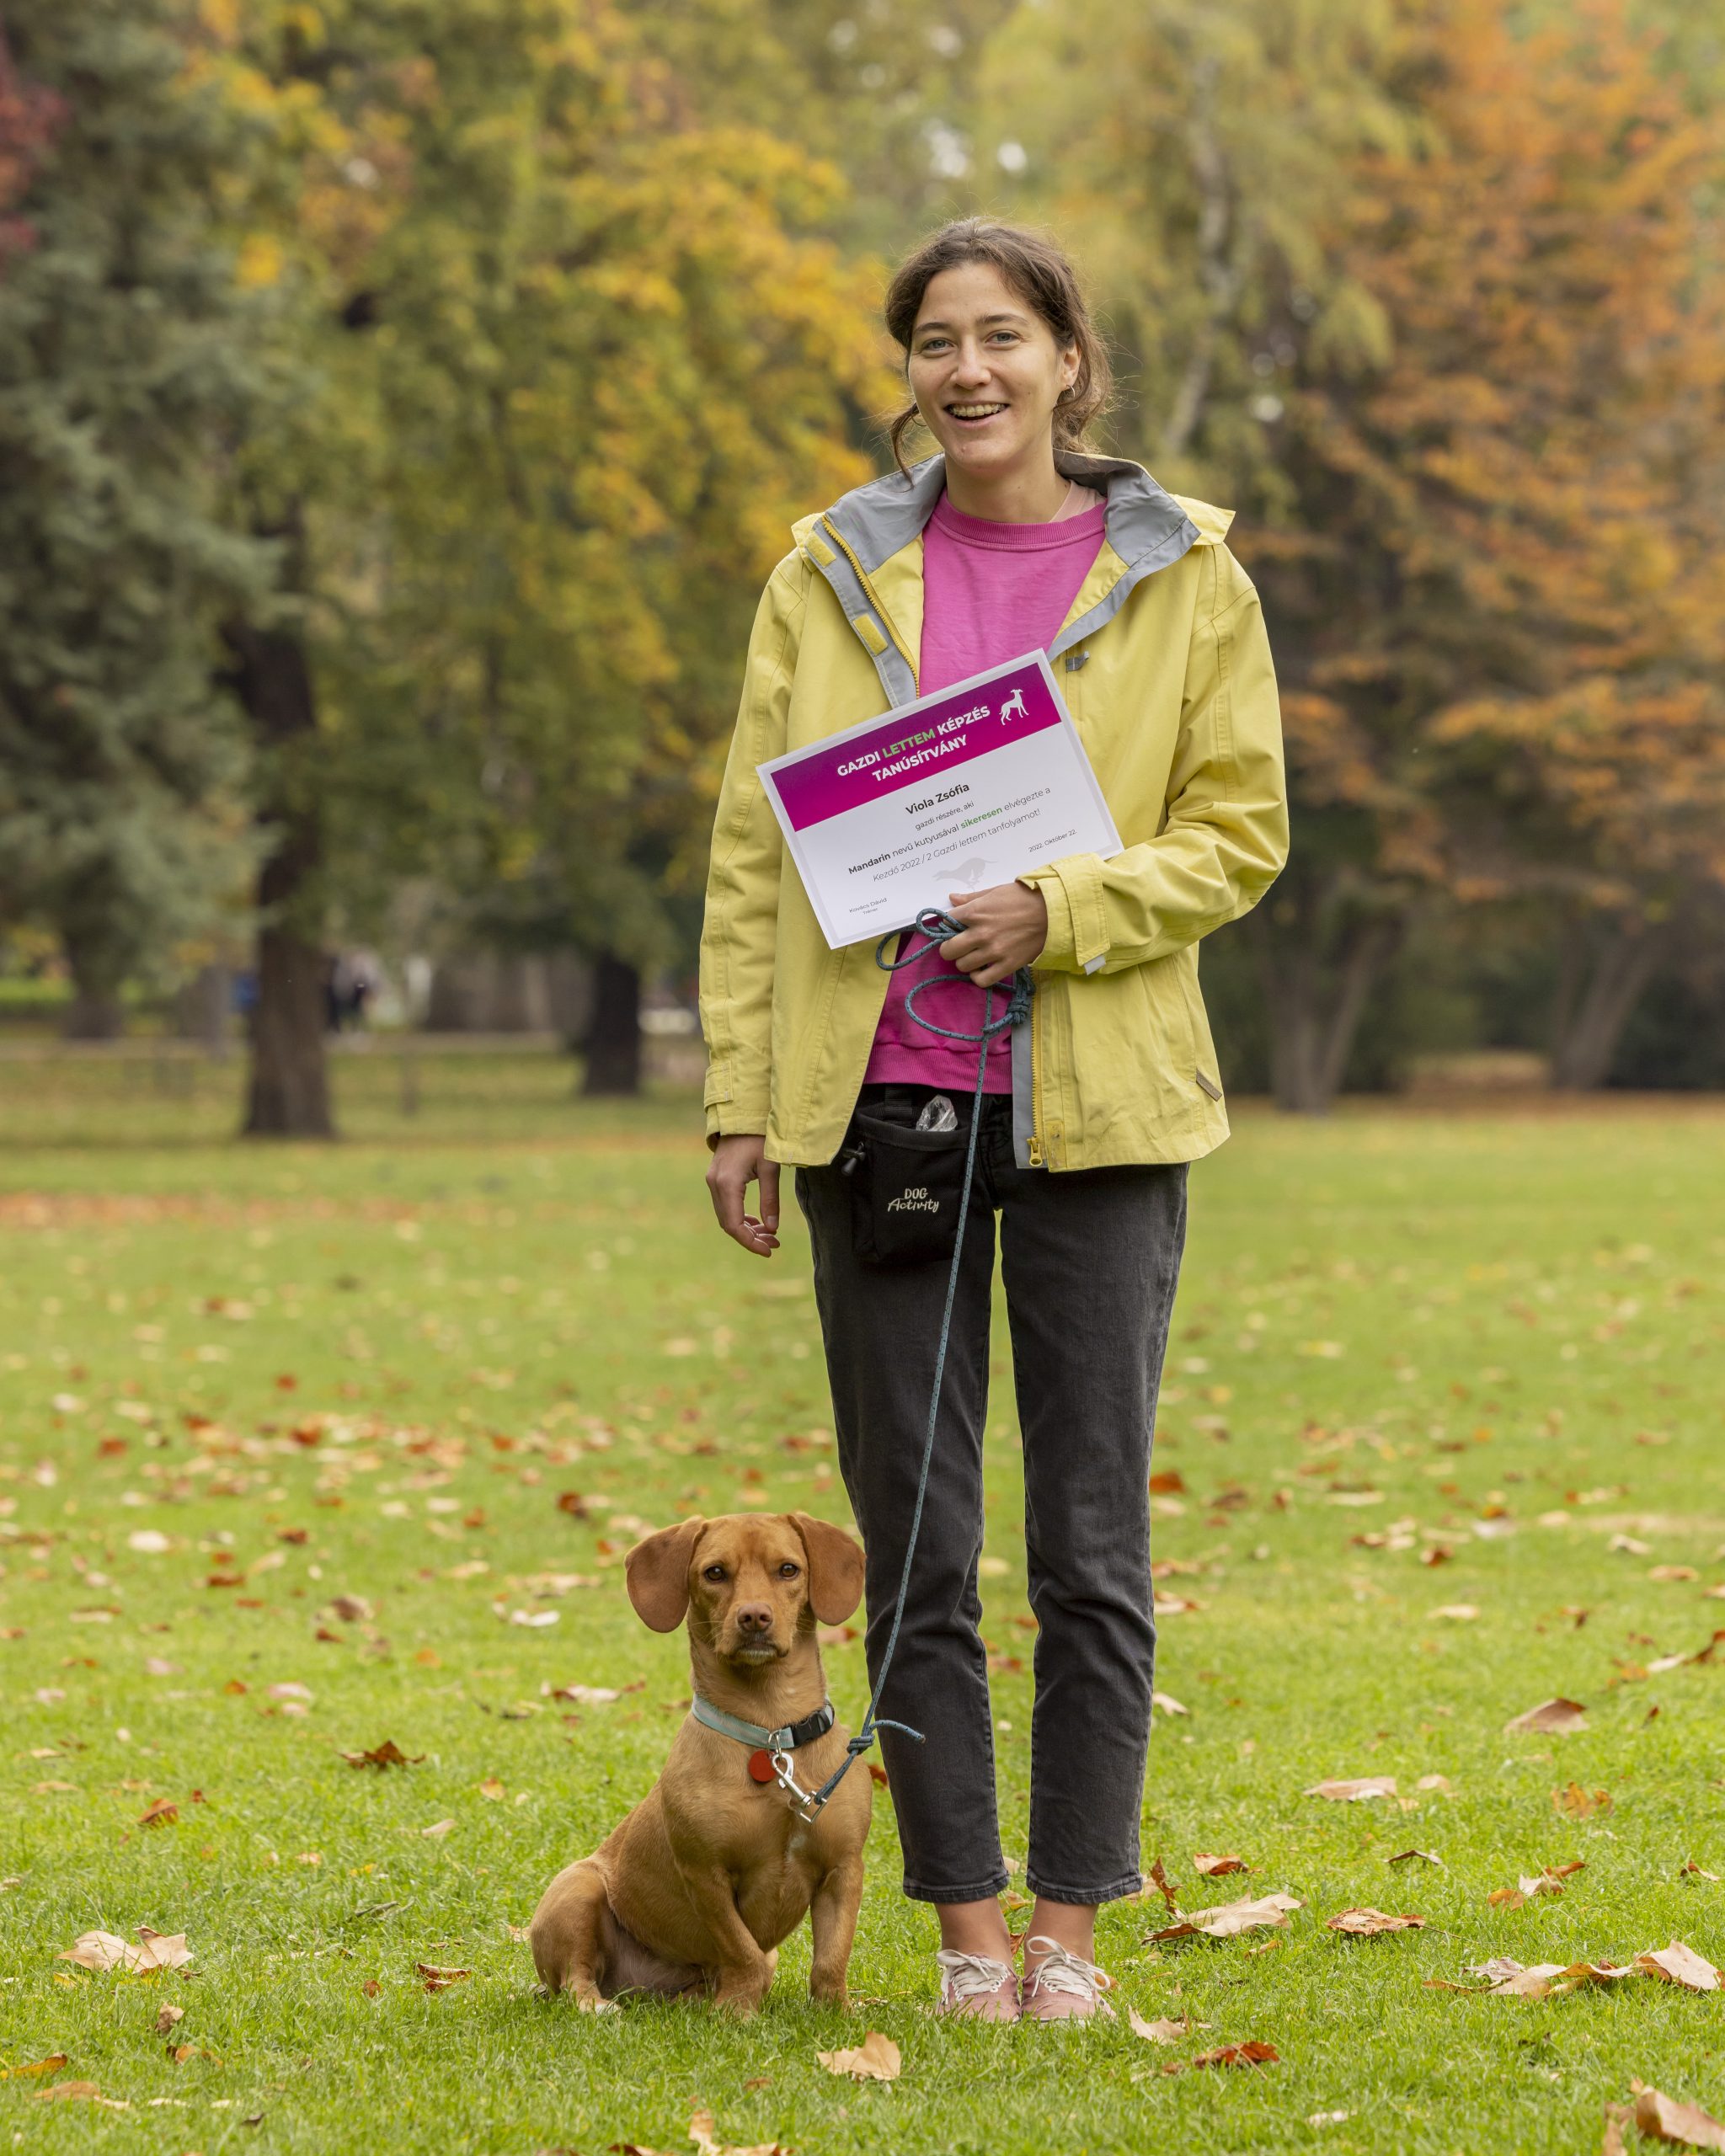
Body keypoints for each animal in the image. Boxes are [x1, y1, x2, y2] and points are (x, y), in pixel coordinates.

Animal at [526, 1509, 871, 2009]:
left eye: (788, 1569)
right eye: (715, 1573)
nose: (754, 1616)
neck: (771, 1732)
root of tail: (635, 1988)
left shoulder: (843, 1869)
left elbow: (830, 1958)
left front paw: (835, 2012)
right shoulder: (705, 1876)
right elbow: (742, 1952)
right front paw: (738, 2012)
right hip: (577, 1888)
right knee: (576, 1978)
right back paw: (599, 2005)